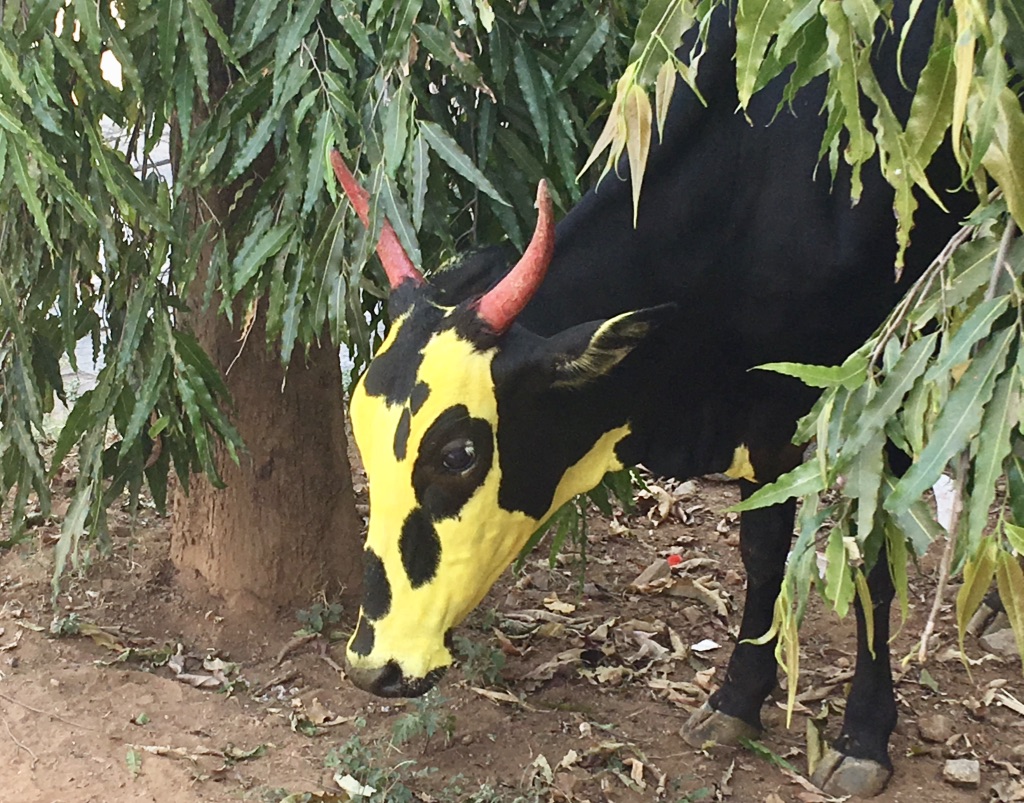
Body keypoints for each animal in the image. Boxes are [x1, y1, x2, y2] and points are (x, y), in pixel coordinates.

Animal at [333, 3, 974, 794]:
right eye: (359, 428)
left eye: (458, 453)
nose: (374, 667)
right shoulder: (761, 417)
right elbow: (762, 549)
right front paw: (735, 701)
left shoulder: (877, 403)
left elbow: (872, 568)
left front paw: (864, 738)